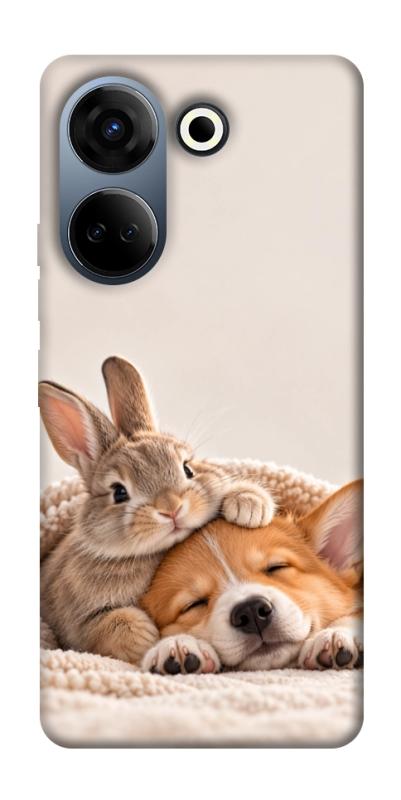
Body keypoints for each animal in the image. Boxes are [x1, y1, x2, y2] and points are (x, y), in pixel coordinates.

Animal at [40, 356, 276, 664]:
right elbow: (109, 626)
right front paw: (147, 638)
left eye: (187, 469)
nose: (171, 508)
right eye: (119, 492)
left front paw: (249, 505)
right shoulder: (78, 623)